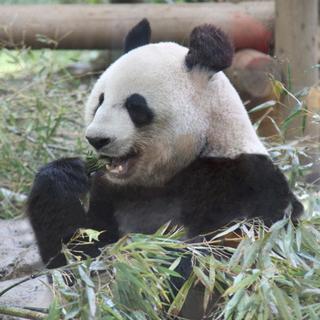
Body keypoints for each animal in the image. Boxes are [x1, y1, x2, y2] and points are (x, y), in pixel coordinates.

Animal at [27, 19, 302, 270]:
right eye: (99, 101)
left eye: (135, 106)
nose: (97, 139)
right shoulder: (111, 190)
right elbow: (76, 249)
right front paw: (66, 174)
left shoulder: (243, 180)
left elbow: (227, 251)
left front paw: (153, 254)